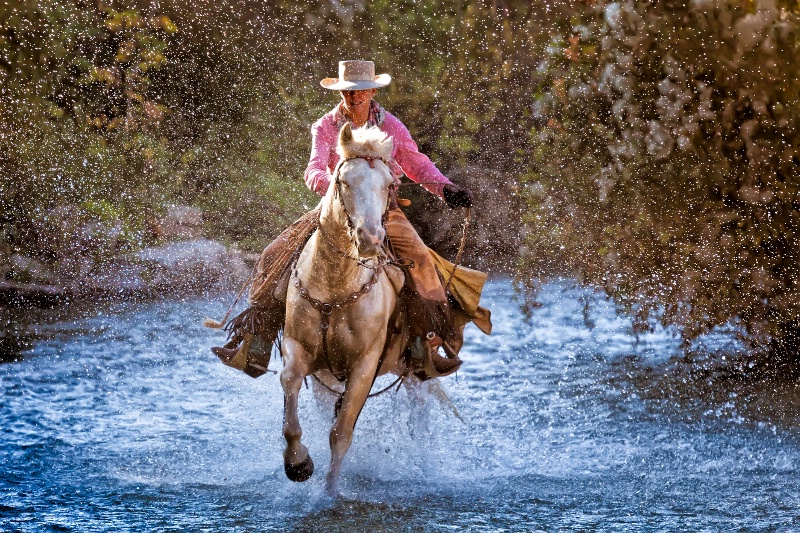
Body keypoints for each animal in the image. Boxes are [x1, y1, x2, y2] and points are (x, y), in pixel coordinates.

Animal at [282, 122, 410, 492]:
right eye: (344, 181)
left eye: (389, 184)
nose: (371, 238)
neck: (335, 288)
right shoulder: (297, 349)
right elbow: (289, 386)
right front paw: (298, 463)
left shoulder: (365, 366)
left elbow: (340, 433)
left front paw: (328, 492)